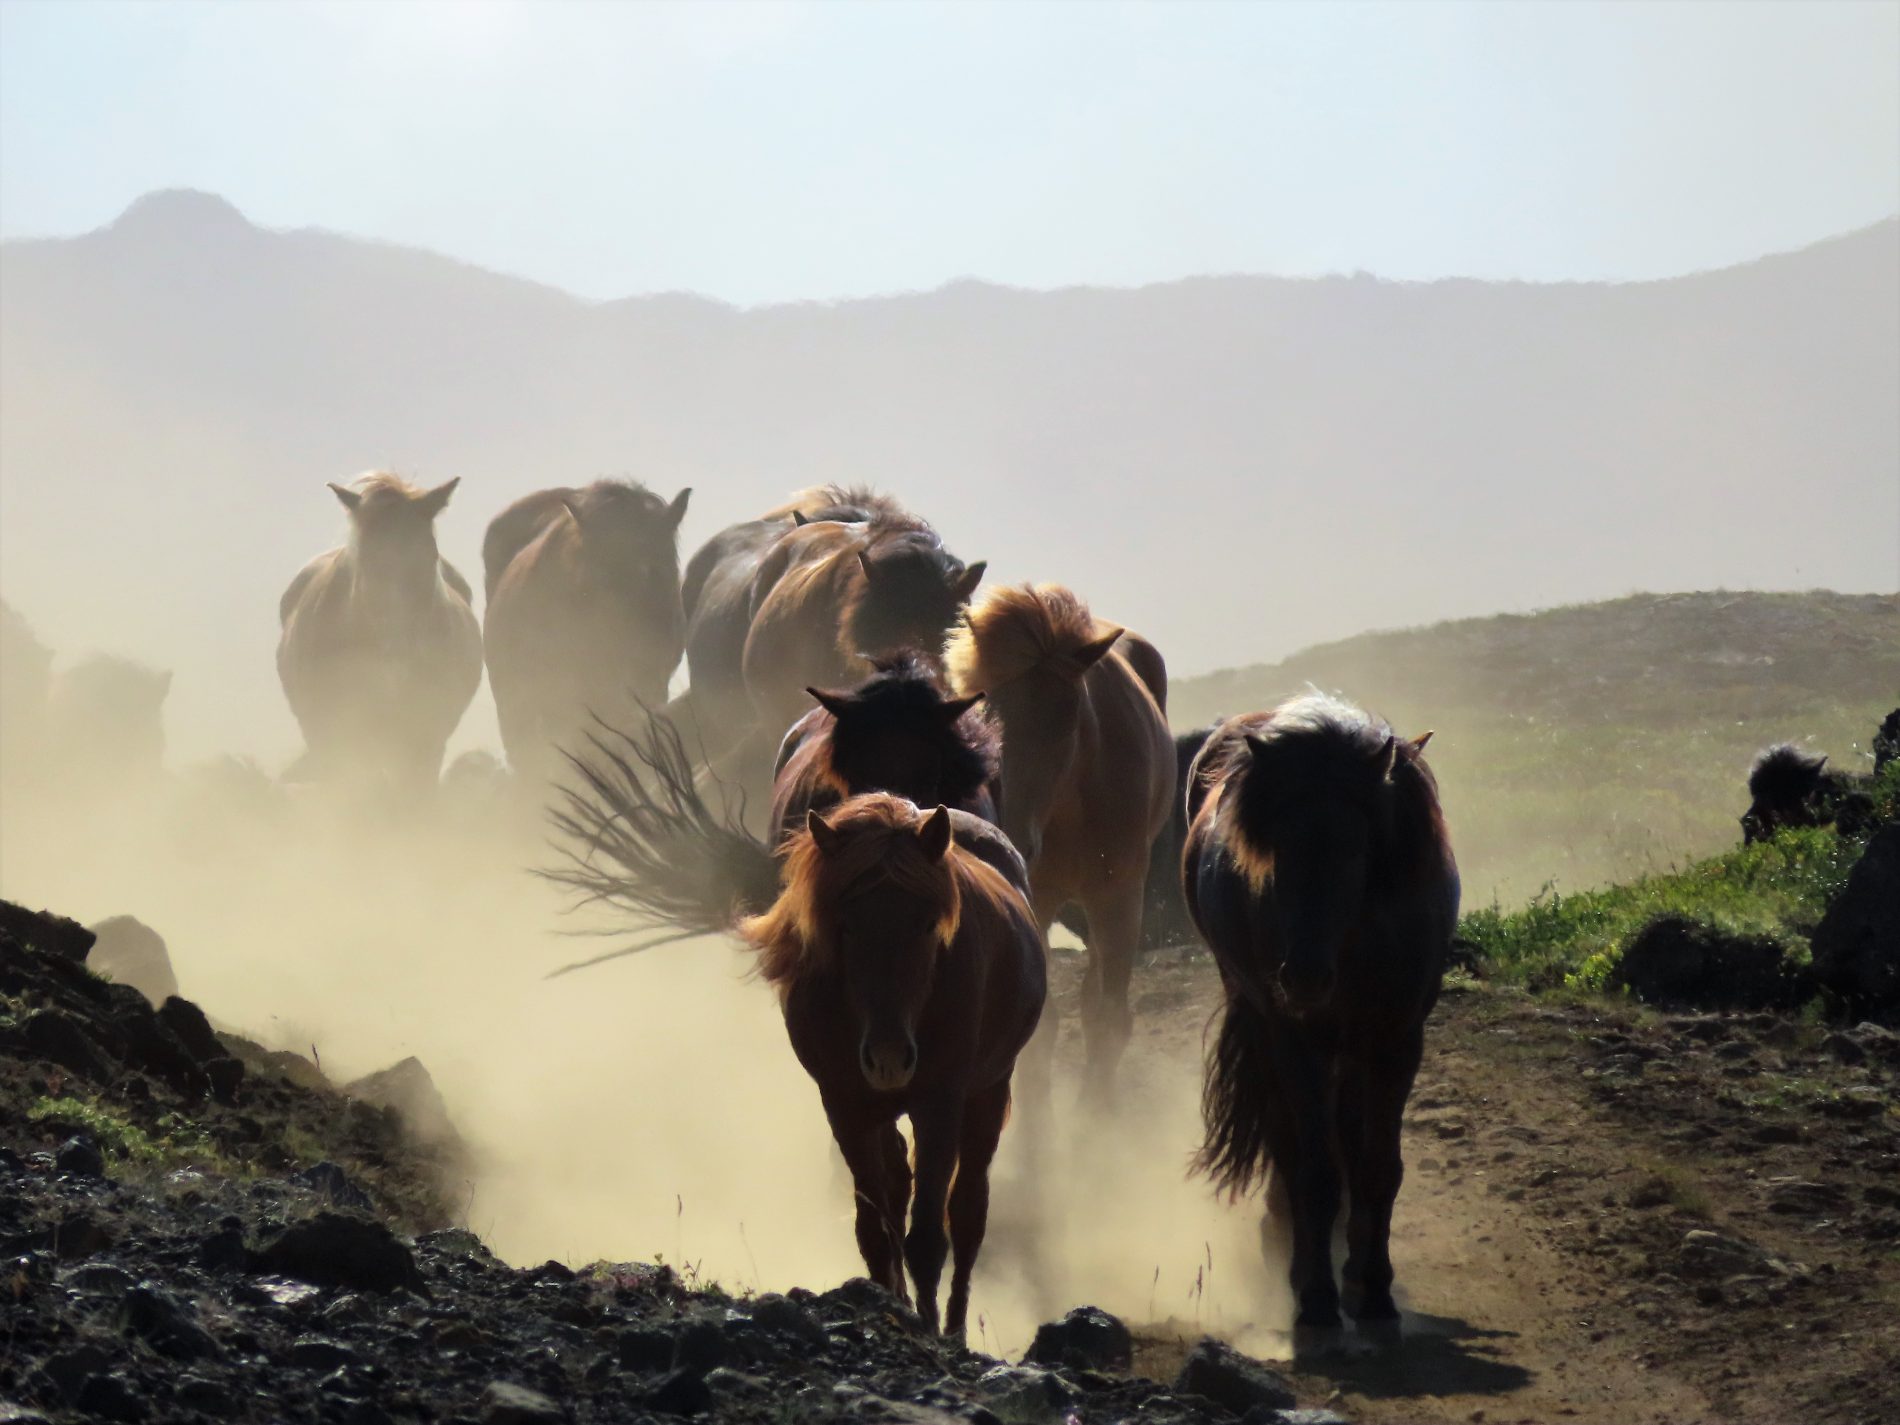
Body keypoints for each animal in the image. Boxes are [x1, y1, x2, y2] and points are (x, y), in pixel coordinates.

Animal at [545, 718, 1044, 1338]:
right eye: (845, 925)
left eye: (932, 924)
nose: (888, 1058)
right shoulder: (844, 1102)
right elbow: (874, 1227)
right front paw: (891, 1306)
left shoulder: (940, 1101)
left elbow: (929, 1235)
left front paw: (930, 1328)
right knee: (898, 1190)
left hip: (987, 1090)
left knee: (969, 1211)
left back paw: (952, 1325)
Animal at [944, 582, 1173, 1095]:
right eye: (978, 710)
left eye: (1066, 716)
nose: (1011, 836)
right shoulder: (1038, 901)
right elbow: (1041, 1029)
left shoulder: (1119, 897)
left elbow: (1107, 1020)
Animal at [1183, 693, 1457, 1329]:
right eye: (1275, 848)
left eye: (1356, 849)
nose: (1305, 977)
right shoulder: (1295, 1040)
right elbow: (1314, 1170)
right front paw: (1315, 1296)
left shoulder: (1397, 1039)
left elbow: (1378, 1166)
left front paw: (1373, 1289)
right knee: (1289, 1144)